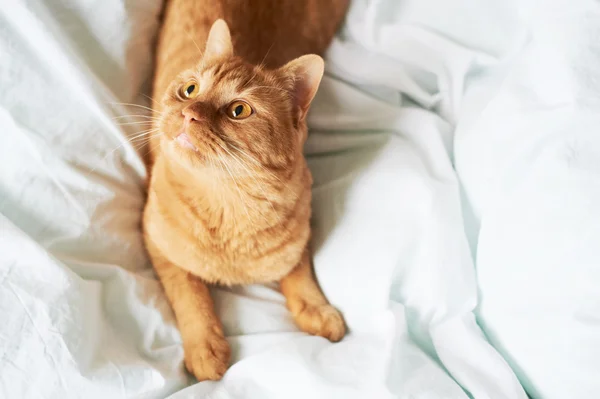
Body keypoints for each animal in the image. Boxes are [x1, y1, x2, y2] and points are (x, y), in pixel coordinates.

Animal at [145, 0, 350, 382]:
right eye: (190, 90)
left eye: (239, 110)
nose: (190, 113)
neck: (228, 206)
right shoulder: (158, 243)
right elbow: (191, 295)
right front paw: (206, 347)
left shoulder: (300, 237)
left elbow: (300, 275)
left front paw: (317, 310)